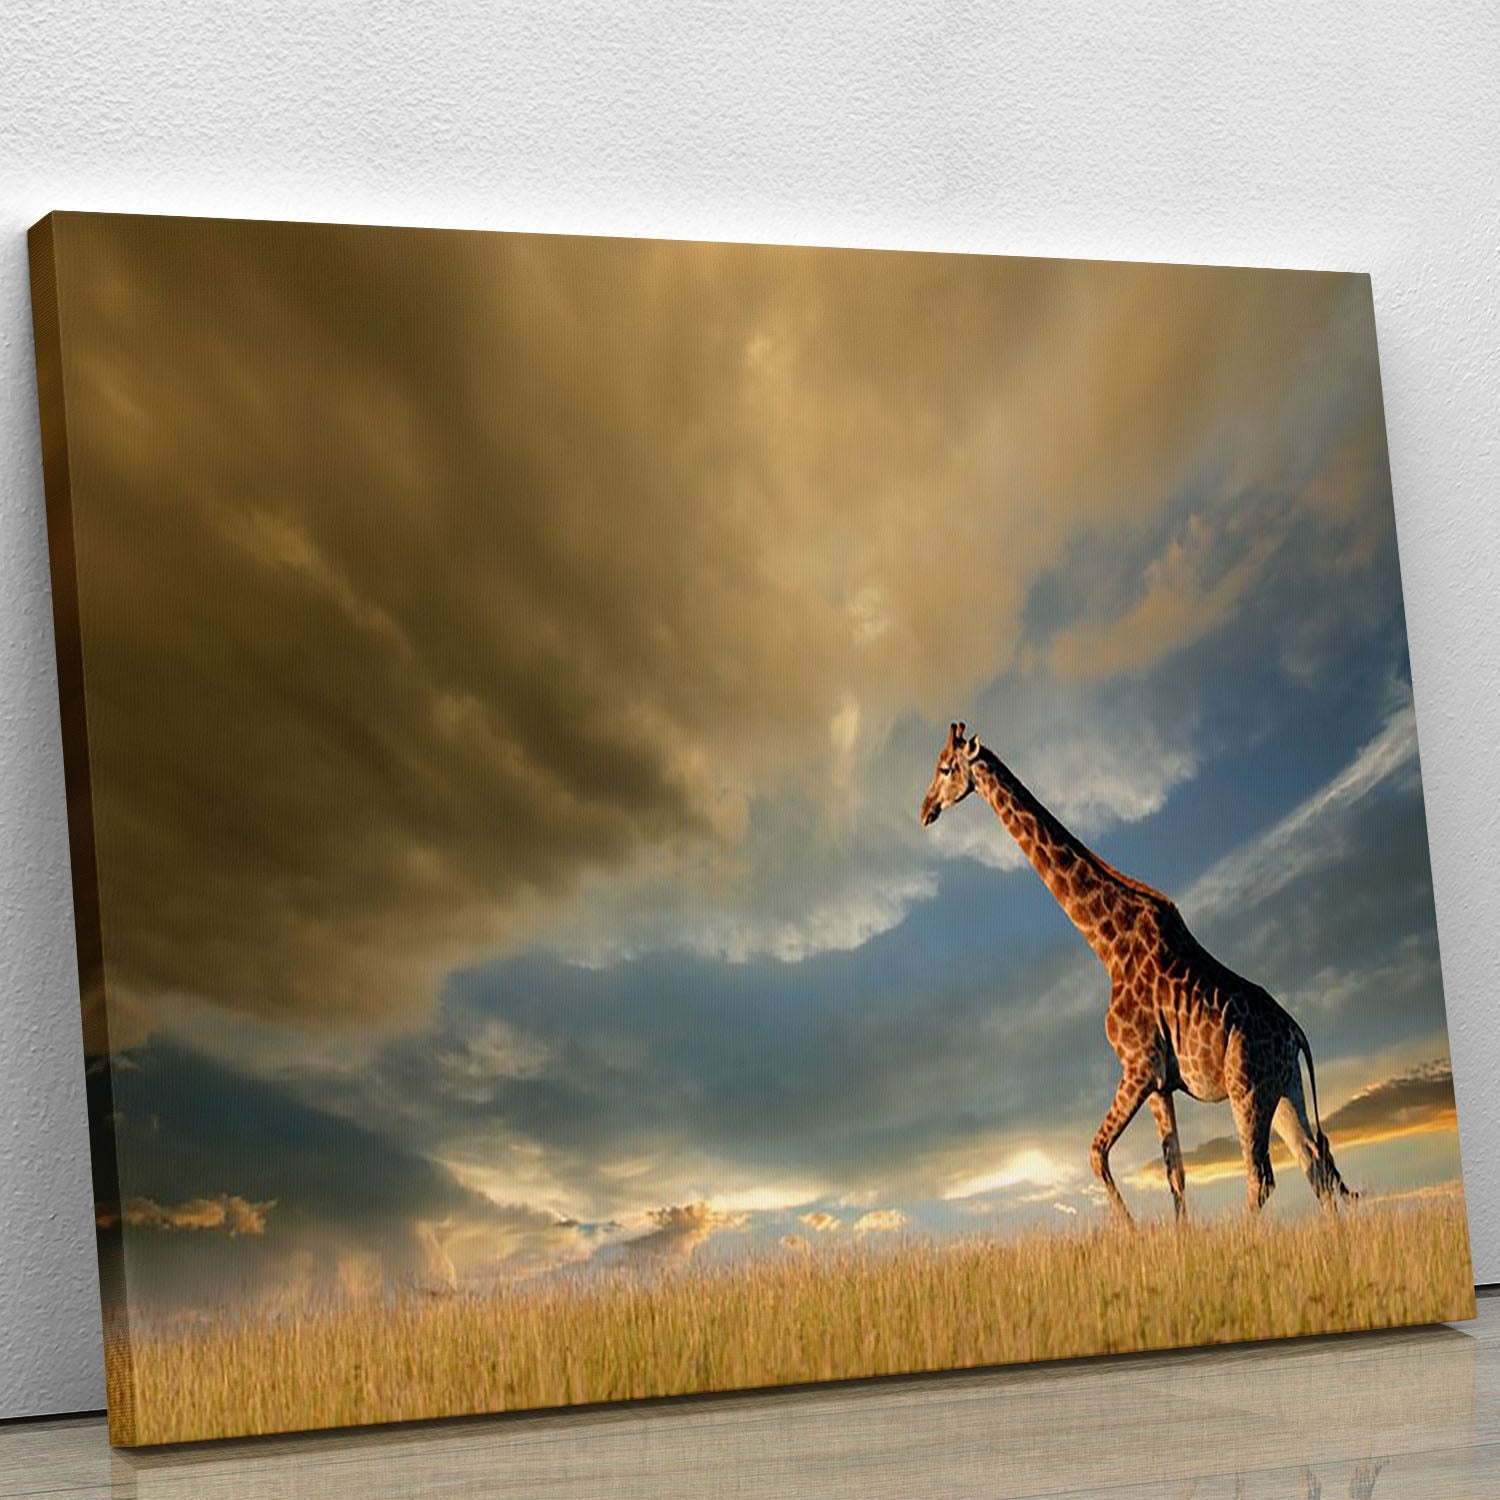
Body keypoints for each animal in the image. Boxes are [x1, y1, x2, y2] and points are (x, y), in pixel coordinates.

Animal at [919, 722, 1353, 1221]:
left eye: (945, 768)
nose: (925, 811)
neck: (1106, 944)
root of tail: (1295, 1031)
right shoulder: (1162, 1084)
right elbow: (1175, 1175)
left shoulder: (1138, 1066)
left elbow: (1096, 1153)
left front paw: (1130, 1228)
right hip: (1284, 1088)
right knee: (1314, 1163)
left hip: (1247, 1087)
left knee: (1262, 1176)